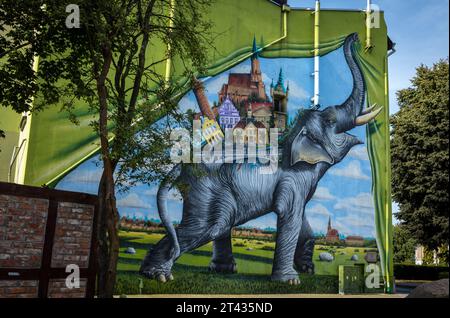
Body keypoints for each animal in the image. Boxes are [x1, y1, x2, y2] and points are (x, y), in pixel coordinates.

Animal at [140, 33, 380, 284]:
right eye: (331, 120)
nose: (354, 37)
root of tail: (182, 166)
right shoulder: (291, 180)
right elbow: (290, 217)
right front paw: (290, 281)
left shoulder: (299, 185)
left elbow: (303, 221)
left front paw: (307, 269)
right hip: (206, 191)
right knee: (209, 226)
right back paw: (158, 275)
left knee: (220, 224)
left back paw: (218, 270)